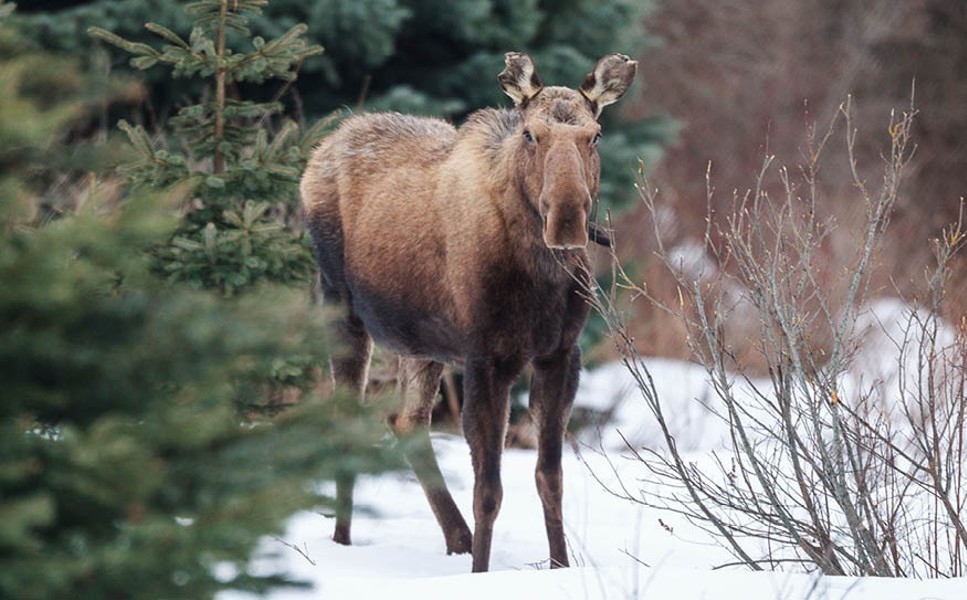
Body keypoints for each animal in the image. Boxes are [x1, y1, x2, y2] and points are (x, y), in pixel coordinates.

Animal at [298, 51, 640, 572]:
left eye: (595, 135)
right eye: (530, 134)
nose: (567, 220)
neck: (540, 277)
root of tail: (324, 146)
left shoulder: (560, 353)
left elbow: (550, 479)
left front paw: (559, 566)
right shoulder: (487, 359)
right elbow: (489, 492)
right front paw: (480, 572)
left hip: (420, 344)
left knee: (406, 421)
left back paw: (455, 538)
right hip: (341, 307)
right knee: (346, 422)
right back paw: (343, 541)